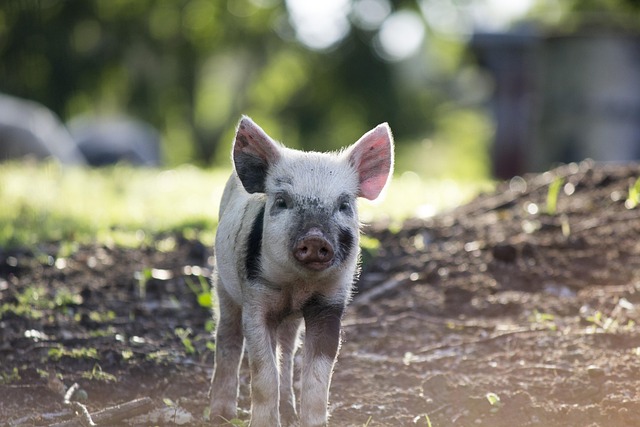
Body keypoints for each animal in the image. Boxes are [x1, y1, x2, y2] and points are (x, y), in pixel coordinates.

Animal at [209, 116, 394, 427]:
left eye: (344, 204)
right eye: (282, 202)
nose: (315, 238)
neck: (297, 286)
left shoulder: (330, 303)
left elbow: (318, 378)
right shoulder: (255, 298)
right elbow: (263, 373)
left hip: (289, 322)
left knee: (286, 352)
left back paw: (289, 414)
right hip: (223, 284)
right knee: (227, 337)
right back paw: (220, 415)